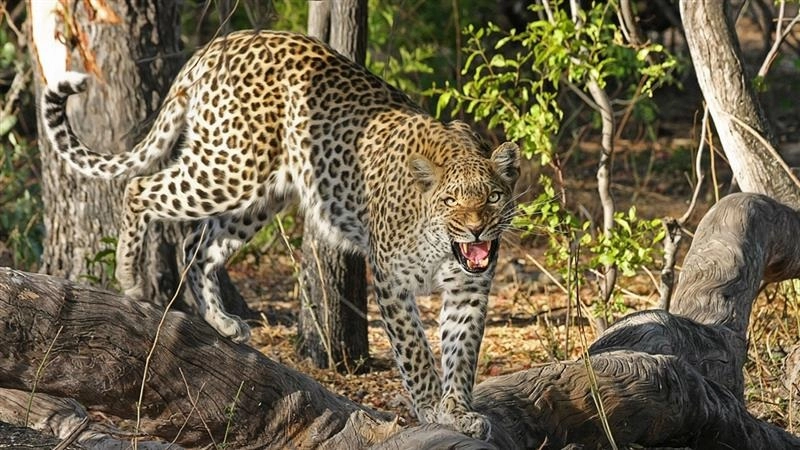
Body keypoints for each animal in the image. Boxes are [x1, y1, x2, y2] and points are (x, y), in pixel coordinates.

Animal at [41, 30, 520, 439]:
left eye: (494, 197)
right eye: (451, 201)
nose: (476, 228)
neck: (444, 245)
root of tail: (217, 45)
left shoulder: (469, 289)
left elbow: (462, 353)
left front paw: (458, 411)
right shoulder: (391, 280)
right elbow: (416, 352)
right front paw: (431, 408)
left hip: (260, 195)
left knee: (197, 244)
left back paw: (221, 321)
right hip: (231, 168)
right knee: (140, 188)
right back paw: (130, 277)